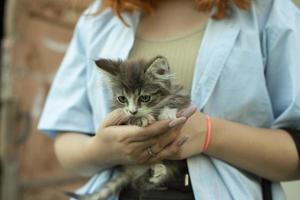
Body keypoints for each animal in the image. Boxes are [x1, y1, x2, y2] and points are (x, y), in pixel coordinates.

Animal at [67, 55, 191, 200]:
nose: (133, 111)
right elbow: (126, 118)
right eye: (122, 98)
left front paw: (167, 112)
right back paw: (155, 171)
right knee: (138, 184)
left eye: (145, 98)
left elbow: (175, 100)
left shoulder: (179, 92)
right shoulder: (116, 114)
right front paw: (139, 118)